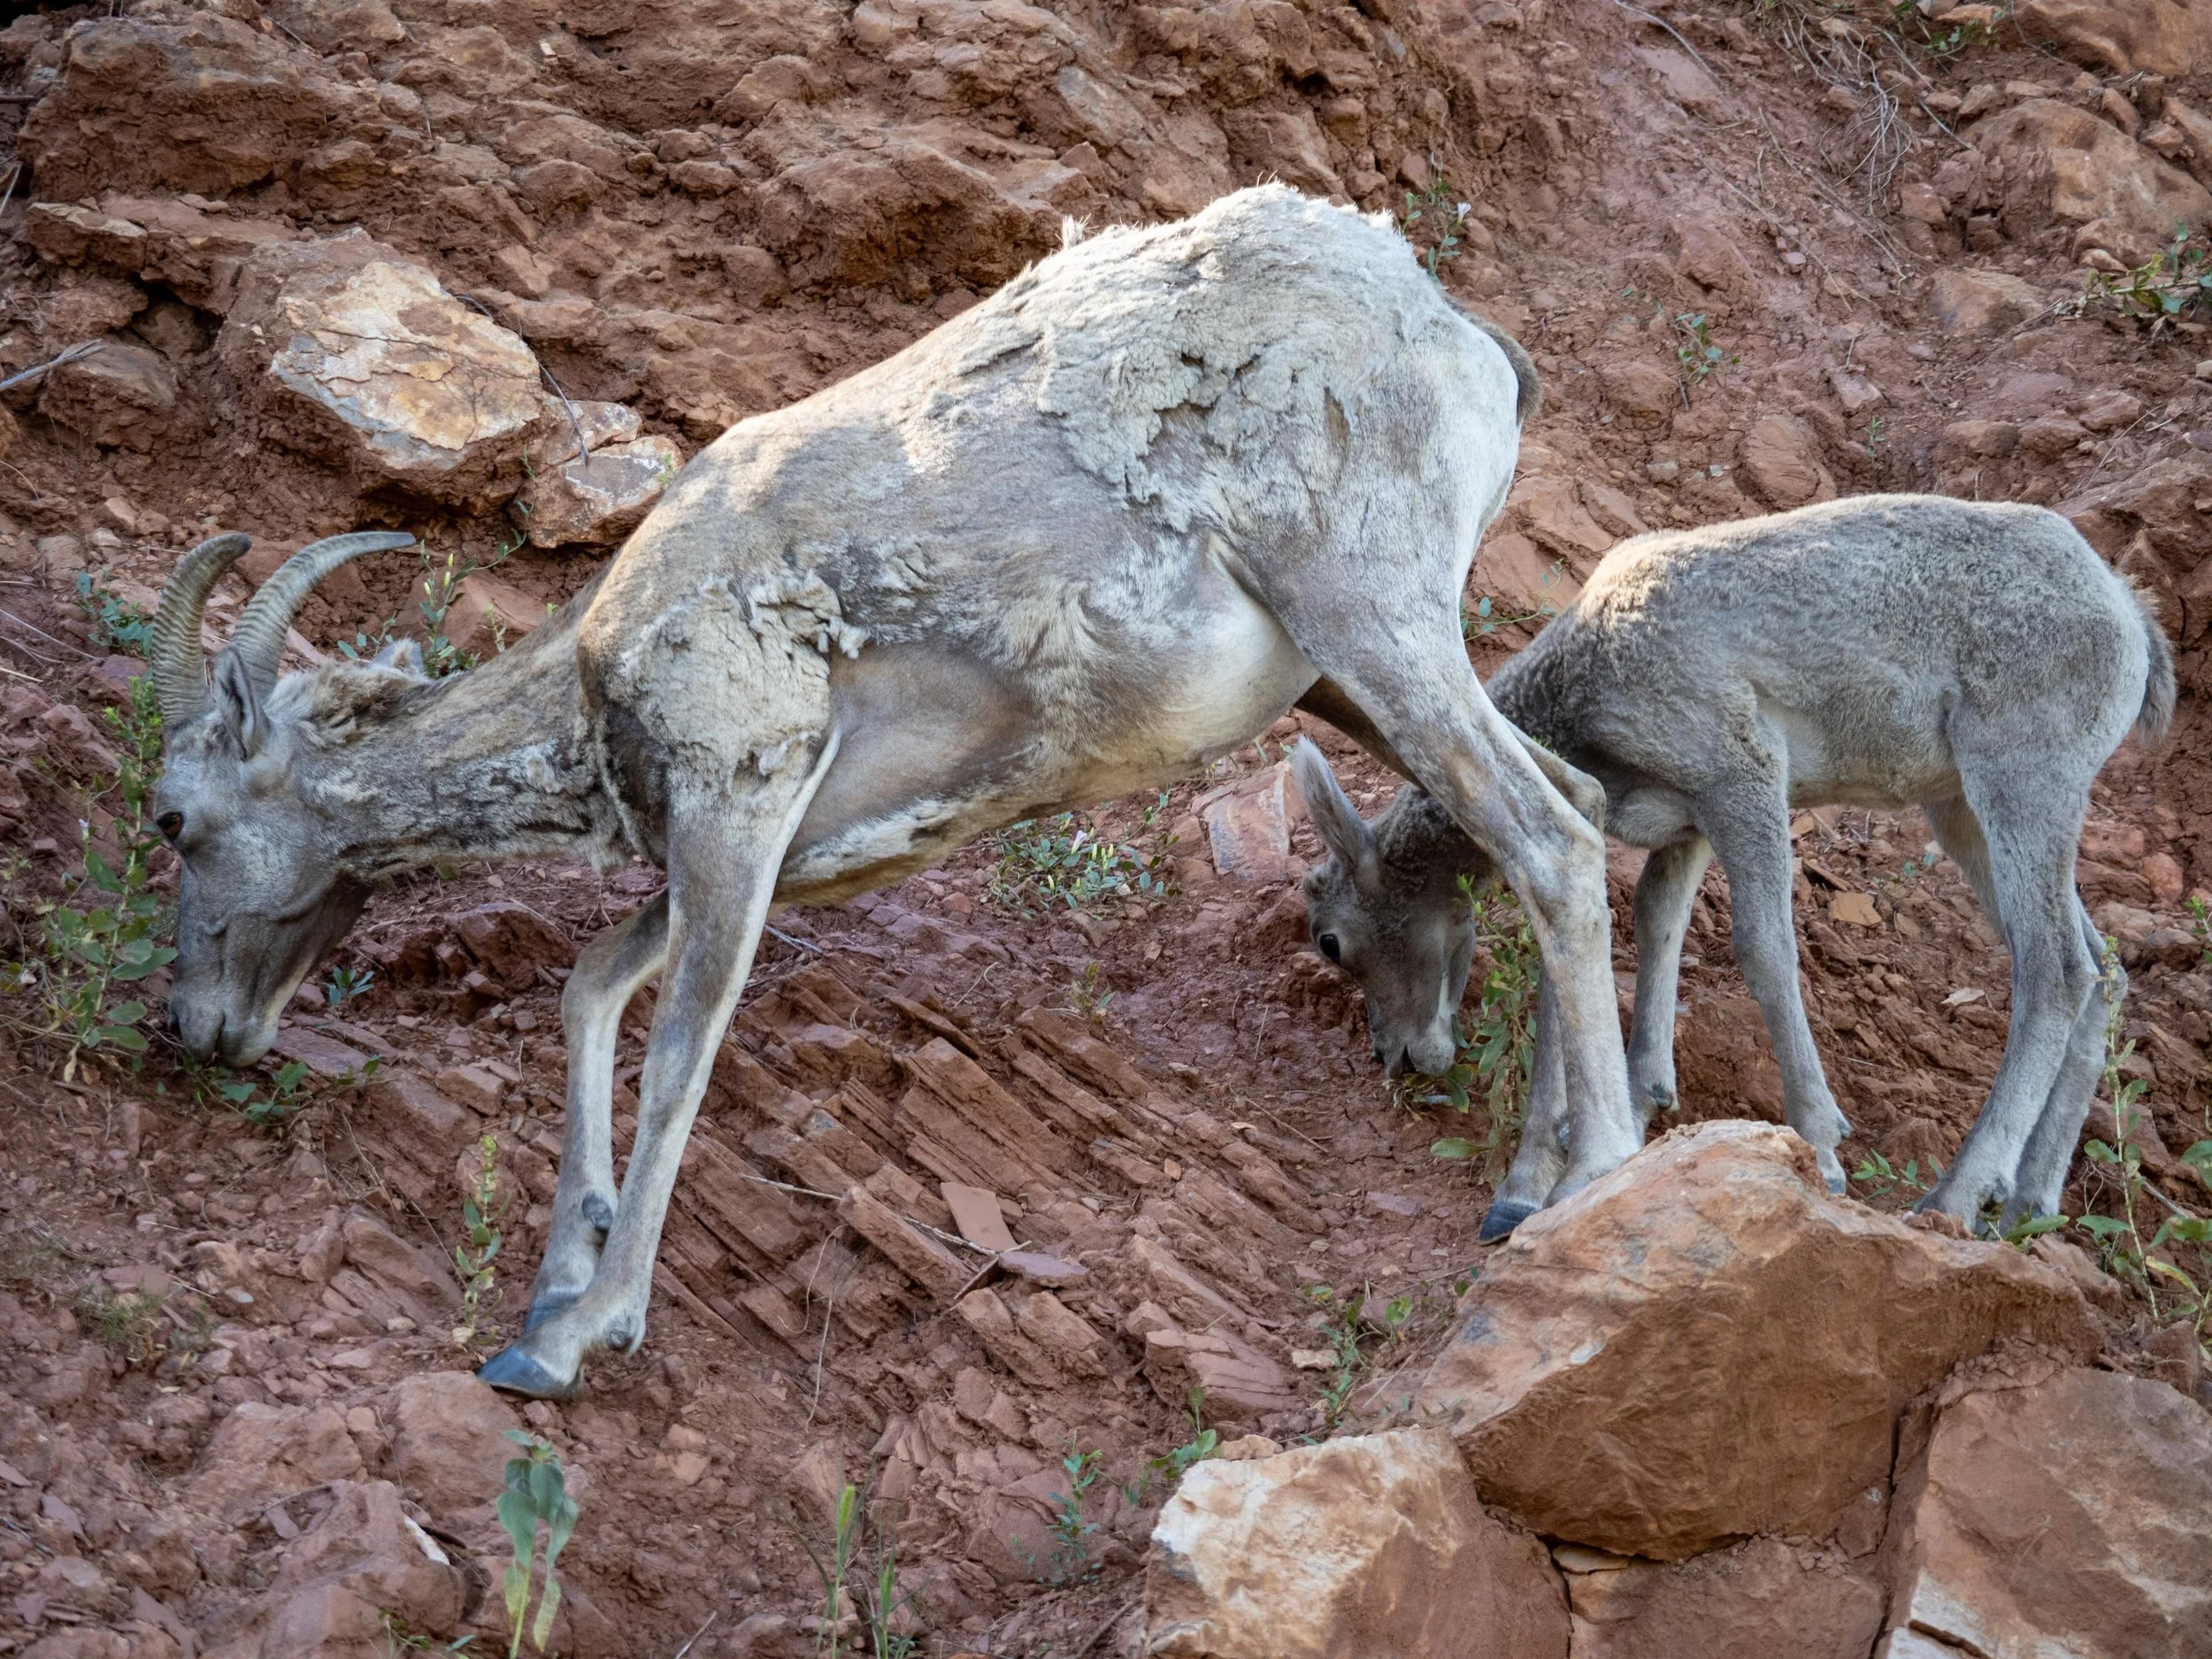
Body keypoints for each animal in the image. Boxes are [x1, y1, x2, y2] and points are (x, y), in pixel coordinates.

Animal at [146, 185, 1642, 1399]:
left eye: (178, 819)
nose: (197, 1027)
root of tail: (1457, 331)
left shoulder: (737, 814)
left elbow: (680, 1050)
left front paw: (566, 1339)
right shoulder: (734, 859)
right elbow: (588, 989)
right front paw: (563, 1273)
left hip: (1372, 619)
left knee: (1552, 837)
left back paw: (1599, 1174)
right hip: (1343, 674)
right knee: (1566, 805)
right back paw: (1525, 1188)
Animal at [1296, 493, 2174, 1239]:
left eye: (1332, 940)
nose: (1396, 1056)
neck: (1590, 686)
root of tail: (2132, 622)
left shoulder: (1742, 774)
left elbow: (1764, 949)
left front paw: (1822, 1149)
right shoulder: (1681, 825)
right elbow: (1643, 929)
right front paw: (1576, 1152)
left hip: (2021, 778)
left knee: (2056, 968)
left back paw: (1953, 1197)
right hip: (1963, 807)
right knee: (2102, 968)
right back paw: (2028, 1201)